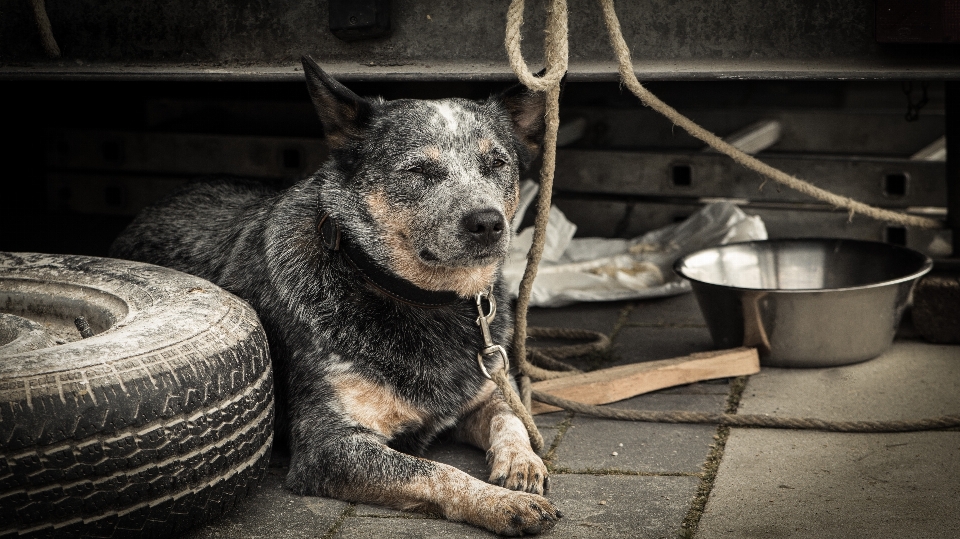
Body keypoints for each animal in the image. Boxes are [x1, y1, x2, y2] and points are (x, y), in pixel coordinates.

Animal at [110, 54, 564, 536]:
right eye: (419, 171)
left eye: (496, 163)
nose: (488, 222)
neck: (418, 298)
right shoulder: (328, 445)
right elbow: (437, 471)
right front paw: (502, 503)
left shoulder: (485, 386)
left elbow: (510, 416)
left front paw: (521, 463)